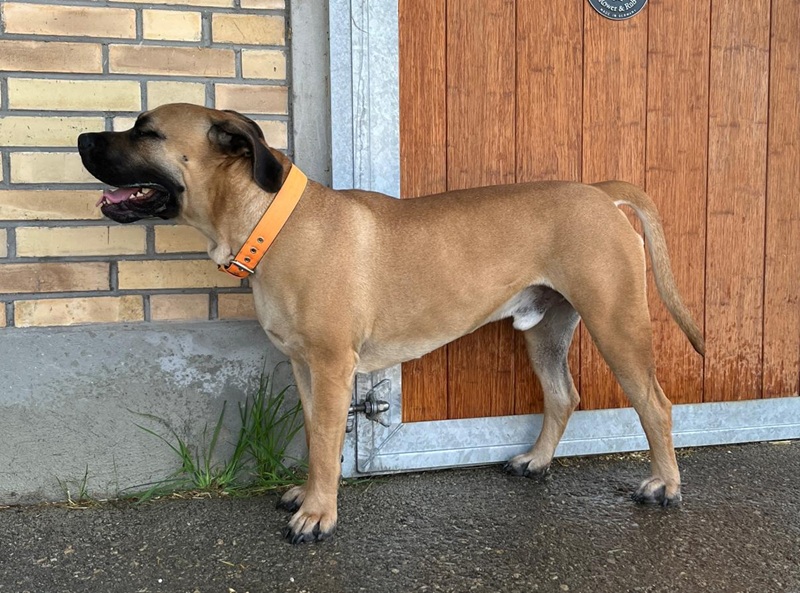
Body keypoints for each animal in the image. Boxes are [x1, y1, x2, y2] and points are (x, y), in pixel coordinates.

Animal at [78, 103, 704, 544]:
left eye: (147, 131)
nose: (82, 138)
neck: (268, 221)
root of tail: (599, 191)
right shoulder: (305, 368)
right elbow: (317, 437)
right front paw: (311, 495)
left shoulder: (332, 366)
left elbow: (327, 439)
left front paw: (318, 515)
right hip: (545, 329)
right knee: (561, 395)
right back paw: (537, 461)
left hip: (617, 323)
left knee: (655, 404)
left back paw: (665, 485)